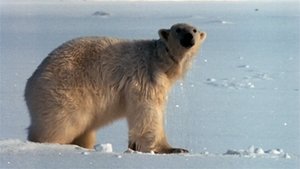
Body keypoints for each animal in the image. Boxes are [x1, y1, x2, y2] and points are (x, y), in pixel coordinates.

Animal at [25, 23, 206, 154]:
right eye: (178, 29)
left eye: (194, 30)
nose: (189, 37)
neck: (158, 60)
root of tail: (30, 84)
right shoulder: (145, 77)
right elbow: (148, 113)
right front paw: (170, 149)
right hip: (65, 93)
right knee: (61, 124)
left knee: (85, 130)